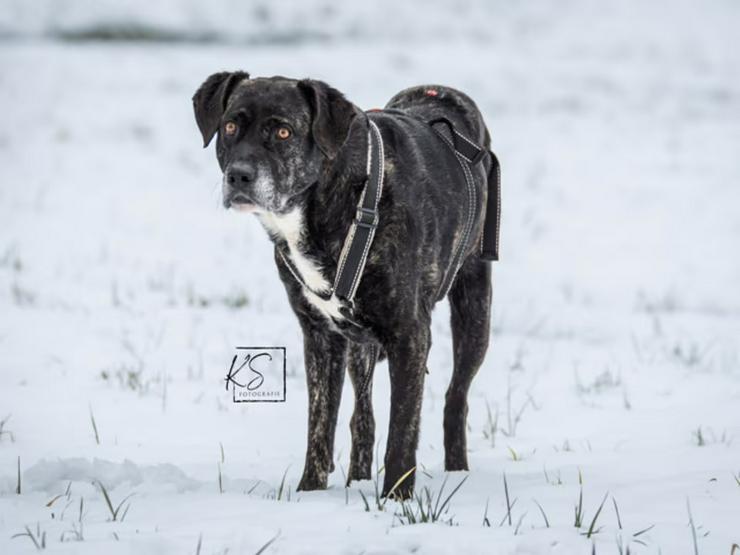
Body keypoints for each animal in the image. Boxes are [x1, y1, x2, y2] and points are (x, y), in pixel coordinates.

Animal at [192, 74, 498, 500]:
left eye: (284, 132)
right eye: (231, 127)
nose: (239, 176)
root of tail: (439, 90)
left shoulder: (410, 336)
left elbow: (403, 428)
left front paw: (397, 499)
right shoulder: (321, 336)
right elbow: (321, 424)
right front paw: (310, 493)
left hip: (474, 310)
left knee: (456, 398)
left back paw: (457, 473)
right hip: (360, 346)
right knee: (362, 416)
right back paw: (358, 477)